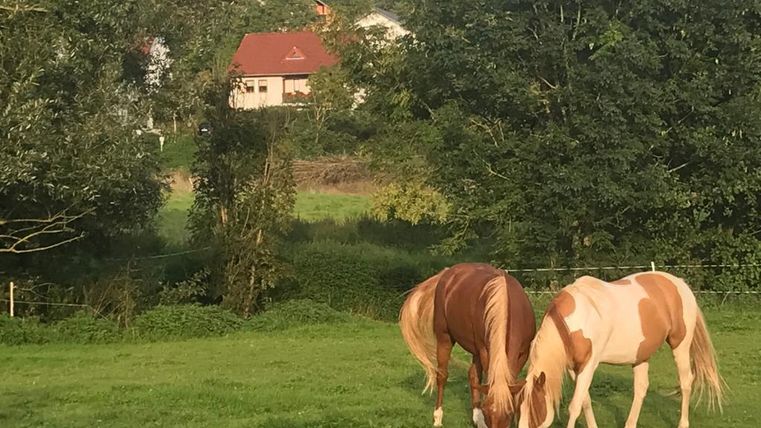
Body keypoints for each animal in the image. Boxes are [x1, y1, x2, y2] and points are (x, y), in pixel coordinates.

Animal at [400, 263, 537, 428]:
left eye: (509, 414)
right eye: (487, 412)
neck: (505, 305)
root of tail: (447, 272)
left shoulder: (523, 353)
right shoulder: (485, 351)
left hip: (475, 349)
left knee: (473, 376)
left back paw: (476, 419)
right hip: (445, 337)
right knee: (442, 375)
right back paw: (438, 418)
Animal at [517, 271, 725, 428]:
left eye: (535, 410)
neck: (575, 320)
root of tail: (679, 283)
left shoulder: (589, 365)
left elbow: (575, 406)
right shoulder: (574, 368)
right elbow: (585, 402)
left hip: (680, 345)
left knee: (685, 382)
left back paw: (683, 423)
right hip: (641, 355)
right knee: (641, 388)